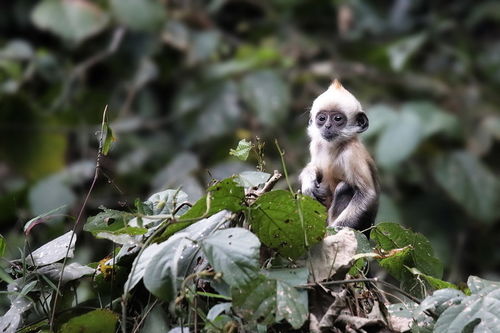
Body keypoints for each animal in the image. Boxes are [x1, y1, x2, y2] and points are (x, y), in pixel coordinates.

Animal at [296, 80, 378, 231]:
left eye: (337, 118)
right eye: (322, 118)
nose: (327, 126)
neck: (334, 147)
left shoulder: (352, 154)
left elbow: (367, 195)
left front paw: (334, 232)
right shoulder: (316, 144)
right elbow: (313, 167)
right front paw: (308, 183)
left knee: (344, 187)